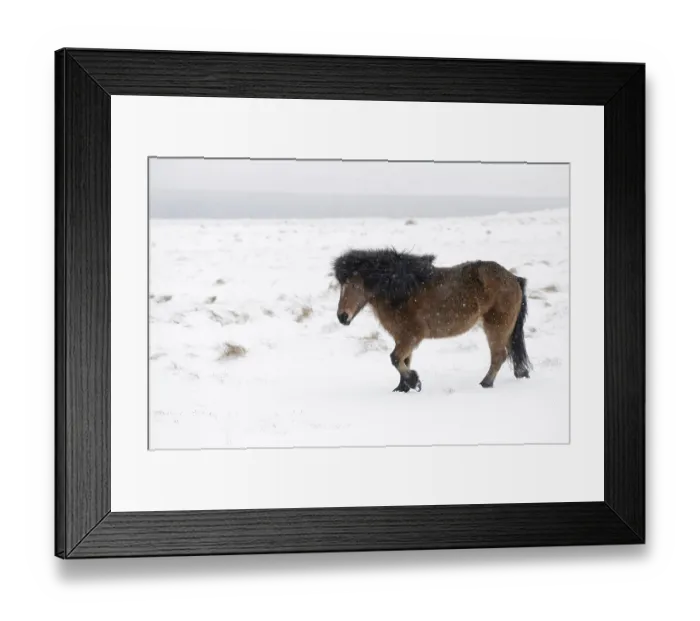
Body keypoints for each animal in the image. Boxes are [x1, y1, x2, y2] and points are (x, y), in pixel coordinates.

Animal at [333, 249, 531, 392]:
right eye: (341, 285)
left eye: (353, 284)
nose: (342, 317)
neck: (399, 290)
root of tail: (514, 279)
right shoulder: (402, 337)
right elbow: (404, 360)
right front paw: (402, 388)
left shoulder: (411, 336)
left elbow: (395, 358)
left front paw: (414, 382)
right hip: (505, 328)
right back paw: (520, 374)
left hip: (496, 326)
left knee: (499, 356)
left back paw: (485, 384)